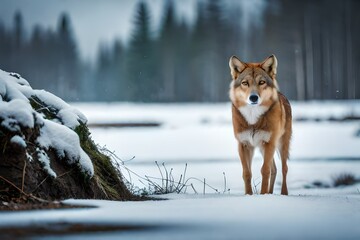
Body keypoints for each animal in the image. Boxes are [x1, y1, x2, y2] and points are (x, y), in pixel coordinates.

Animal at [228, 54, 292, 195]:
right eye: (245, 83)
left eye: (261, 82)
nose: (253, 97)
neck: (253, 118)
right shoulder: (243, 145)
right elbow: (247, 173)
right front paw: (249, 194)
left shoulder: (269, 143)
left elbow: (265, 170)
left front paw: (263, 194)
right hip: (264, 148)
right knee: (275, 169)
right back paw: (270, 193)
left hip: (281, 145)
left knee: (284, 168)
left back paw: (283, 194)